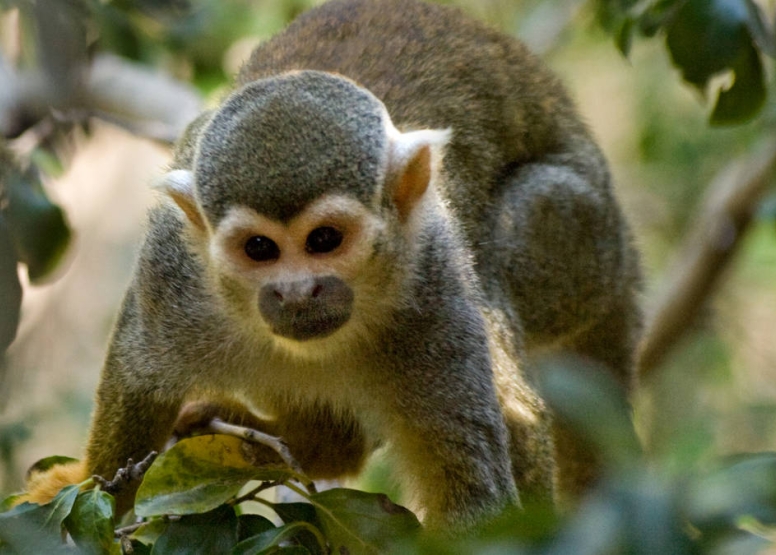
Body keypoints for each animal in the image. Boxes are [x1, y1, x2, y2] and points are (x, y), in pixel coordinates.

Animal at [20, 0, 641, 531]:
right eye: (260, 250)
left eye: (324, 239)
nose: (298, 292)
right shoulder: (173, 270)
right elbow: (139, 369)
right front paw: (95, 482)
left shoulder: (435, 288)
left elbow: (480, 489)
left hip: (576, 240)